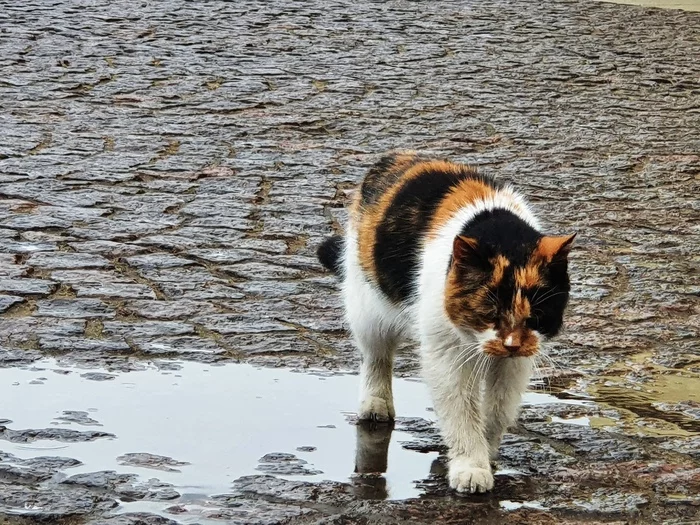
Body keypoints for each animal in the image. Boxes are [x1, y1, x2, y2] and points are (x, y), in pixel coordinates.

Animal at [318, 150, 576, 492]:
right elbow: (462, 412)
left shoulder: (516, 362)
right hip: (367, 306)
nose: (510, 344)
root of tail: (395, 157)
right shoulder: (447, 355)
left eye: (535, 316)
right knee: (376, 356)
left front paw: (487, 453)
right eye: (490, 313)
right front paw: (471, 468)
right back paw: (375, 405)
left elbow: (498, 411)